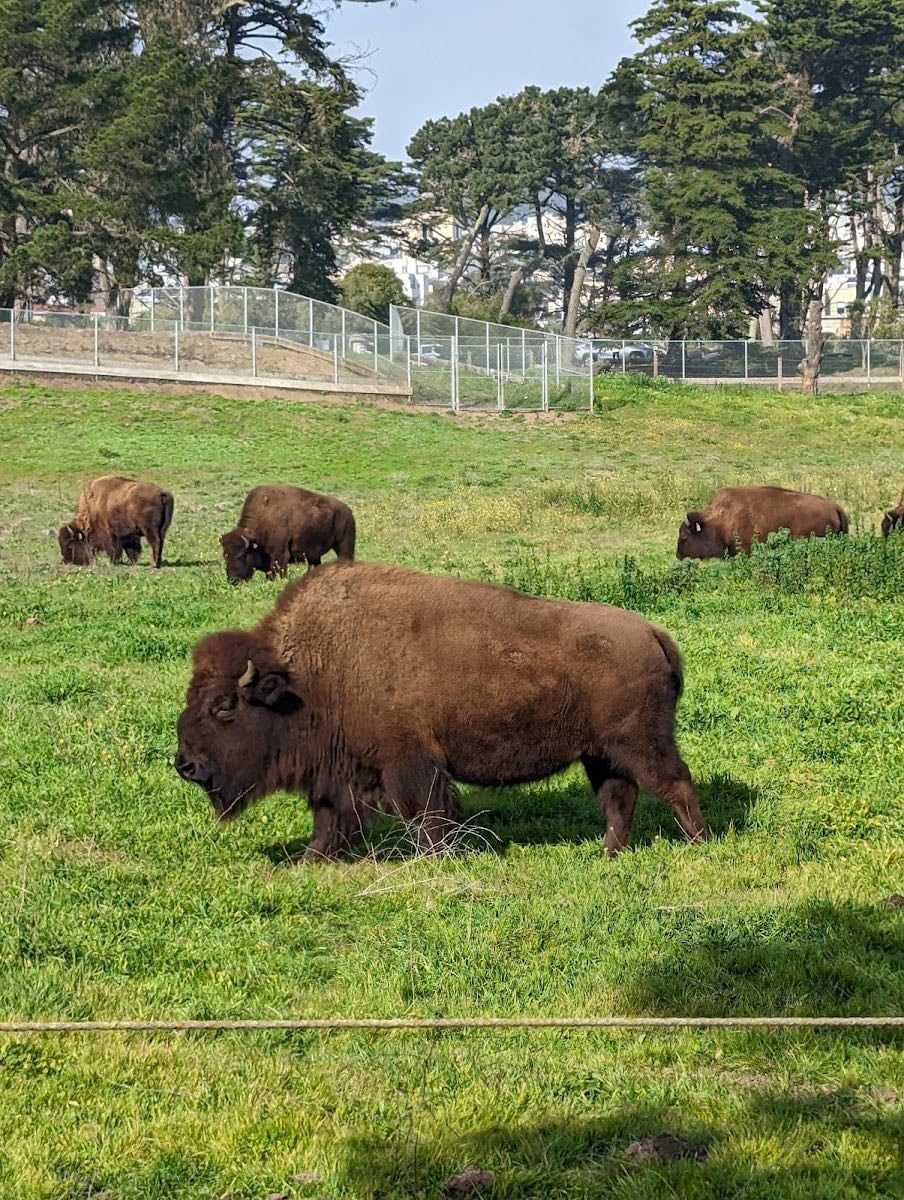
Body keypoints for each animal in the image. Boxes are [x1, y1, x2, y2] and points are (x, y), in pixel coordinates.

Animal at [175, 561, 708, 860]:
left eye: (223, 706)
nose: (185, 764)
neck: (311, 673)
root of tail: (653, 634)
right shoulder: (341, 773)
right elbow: (330, 819)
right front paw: (311, 859)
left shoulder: (409, 763)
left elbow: (428, 816)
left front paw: (435, 859)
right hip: (600, 753)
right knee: (620, 797)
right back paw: (607, 854)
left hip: (640, 742)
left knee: (673, 782)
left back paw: (700, 844)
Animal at [220, 484, 356, 583]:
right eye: (225, 556)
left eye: (242, 555)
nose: (233, 580)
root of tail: (348, 511)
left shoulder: (280, 555)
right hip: (314, 556)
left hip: (343, 546)